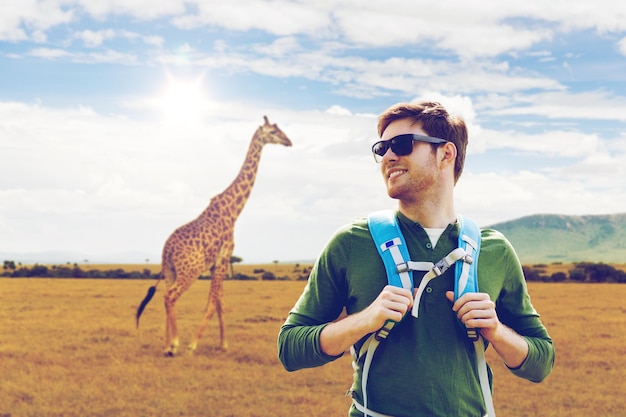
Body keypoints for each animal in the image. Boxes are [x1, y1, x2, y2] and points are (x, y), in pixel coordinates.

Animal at [135, 116, 292, 354]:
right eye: (273, 131)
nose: (289, 141)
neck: (233, 211)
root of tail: (166, 250)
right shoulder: (223, 257)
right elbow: (211, 305)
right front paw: (193, 344)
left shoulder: (216, 263)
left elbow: (220, 304)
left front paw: (224, 344)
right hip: (190, 270)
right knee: (170, 296)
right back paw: (175, 343)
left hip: (170, 271)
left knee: (166, 296)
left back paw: (167, 345)